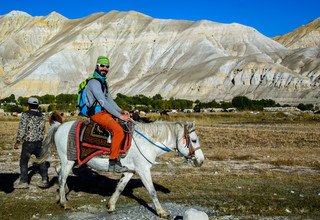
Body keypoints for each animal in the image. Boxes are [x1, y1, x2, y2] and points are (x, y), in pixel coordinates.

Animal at [40, 113, 205, 218]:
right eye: (194, 140)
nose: (201, 161)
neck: (148, 142)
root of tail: (60, 126)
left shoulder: (130, 171)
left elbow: (120, 188)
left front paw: (111, 206)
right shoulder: (143, 170)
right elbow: (152, 191)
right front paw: (162, 212)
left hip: (75, 161)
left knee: (59, 171)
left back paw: (60, 196)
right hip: (68, 160)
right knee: (62, 178)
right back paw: (64, 203)